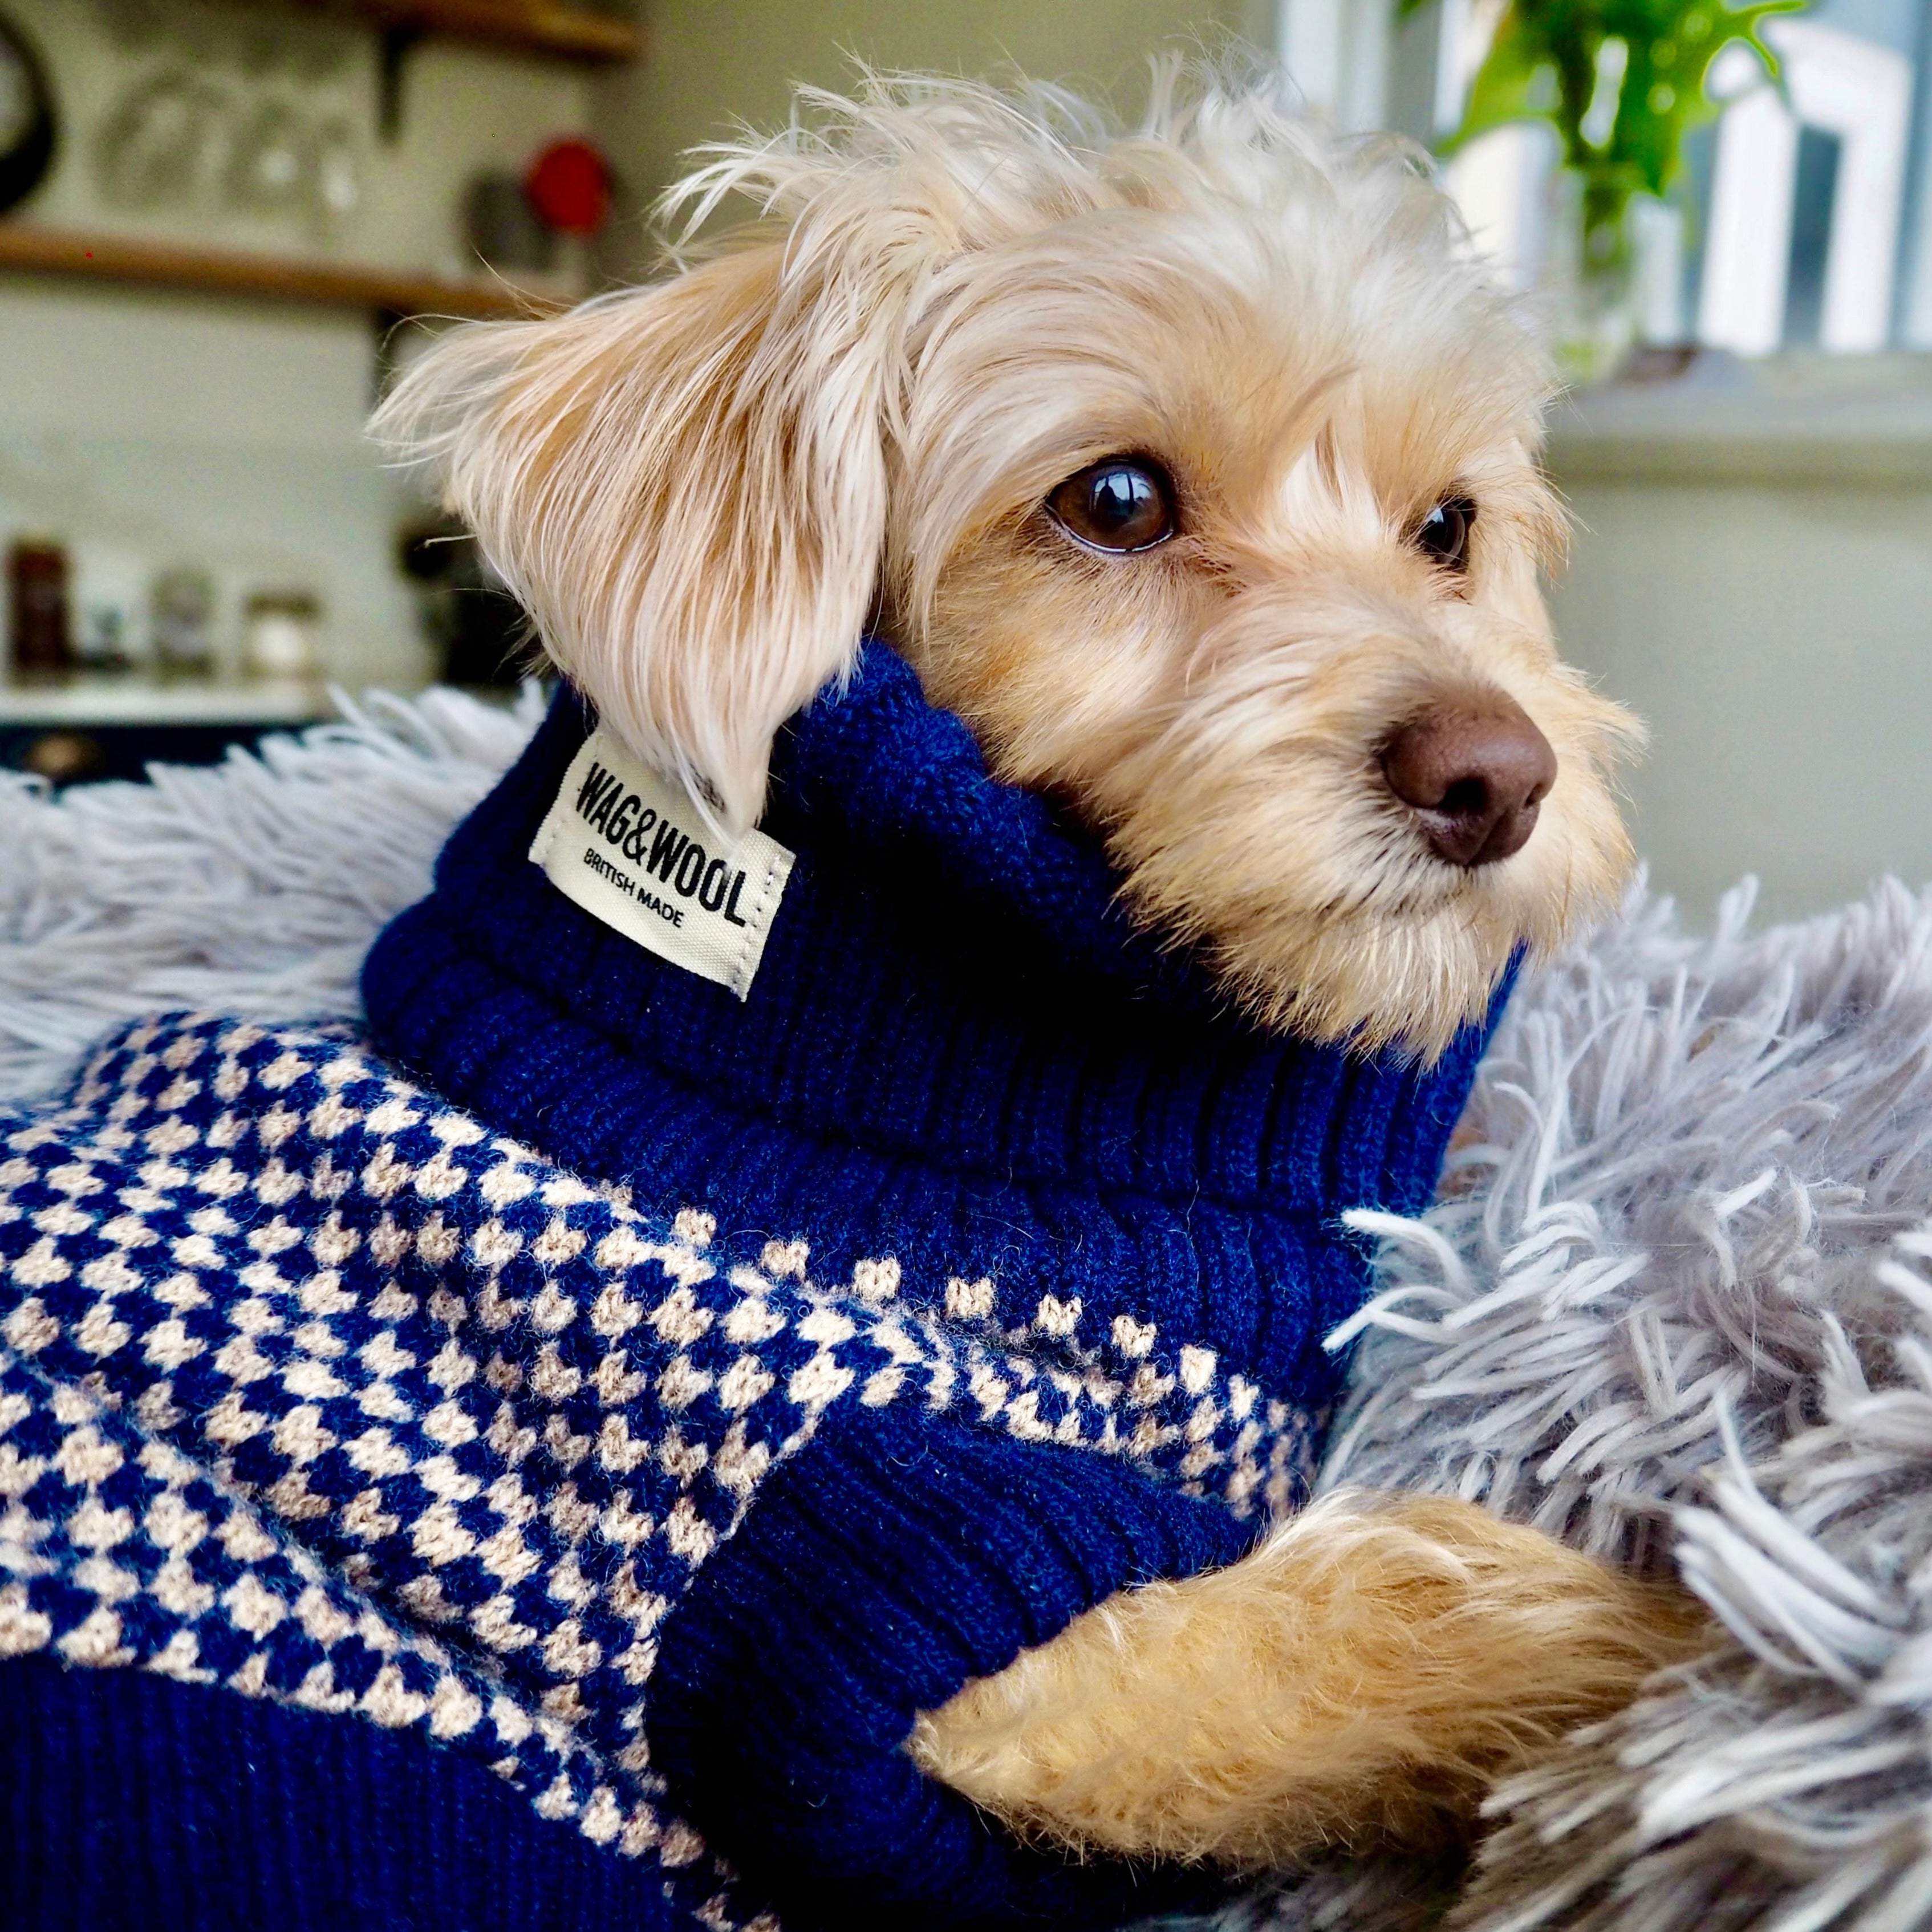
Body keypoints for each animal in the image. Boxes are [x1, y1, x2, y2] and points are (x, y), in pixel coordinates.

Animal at [380, 71, 1707, 1870]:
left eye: (1448, 527)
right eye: (1118, 502)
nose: (1498, 775)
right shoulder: (944, 1577)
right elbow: (1410, 1600)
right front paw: (1745, 1651)